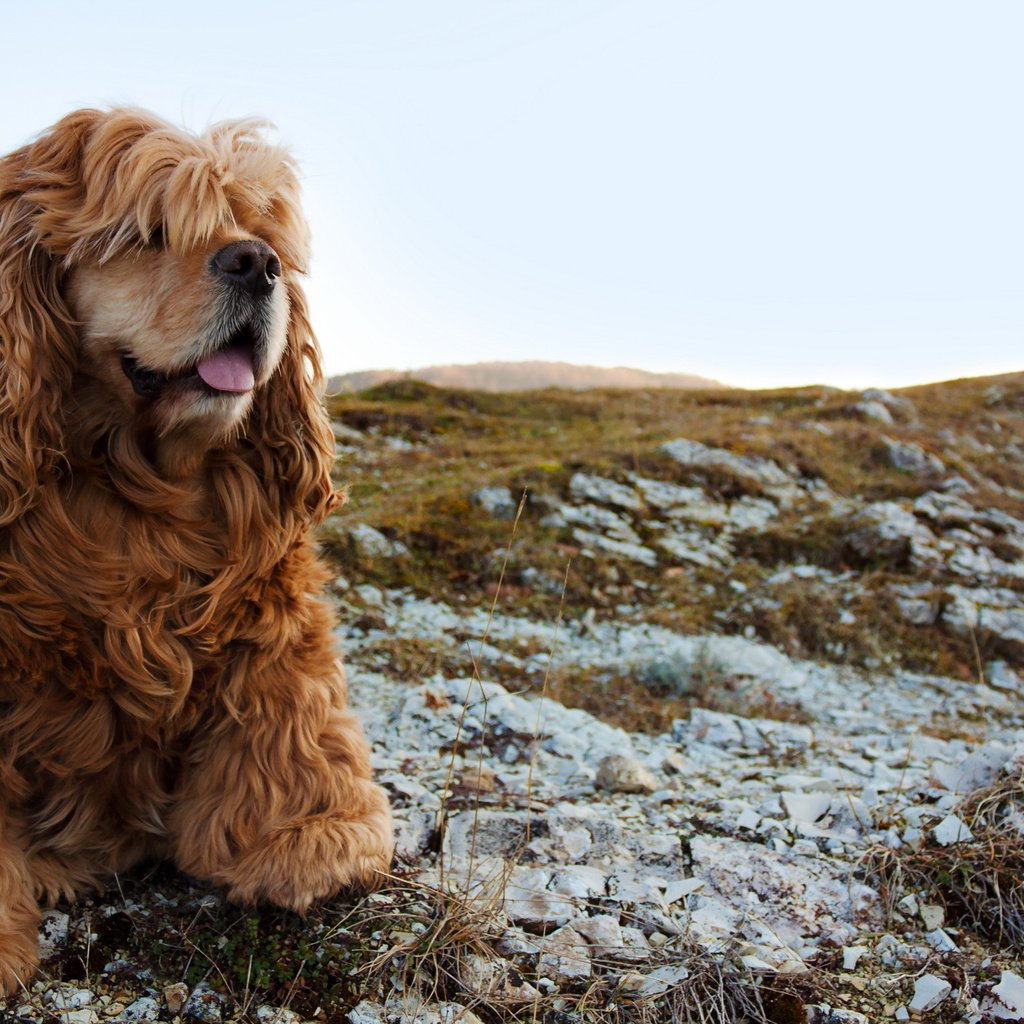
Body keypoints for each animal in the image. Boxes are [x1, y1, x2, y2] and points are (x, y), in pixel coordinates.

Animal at [0, 108, 391, 995]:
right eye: (148, 233)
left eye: (261, 234)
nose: (257, 264)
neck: (142, 489)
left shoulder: (265, 609)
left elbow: (284, 713)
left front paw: (302, 838)